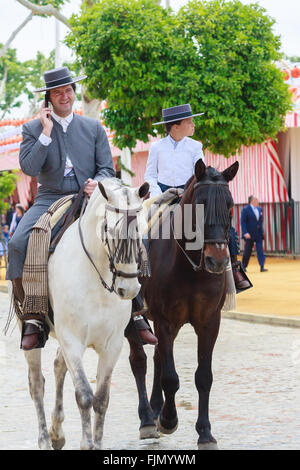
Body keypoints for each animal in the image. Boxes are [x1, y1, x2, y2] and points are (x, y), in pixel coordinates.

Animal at [127, 160, 239, 450]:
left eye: (230, 204)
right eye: (199, 204)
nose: (217, 260)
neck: (190, 267)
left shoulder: (209, 322)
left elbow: (204, 377)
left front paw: (205, 432)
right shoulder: (165, 321)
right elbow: (170, 377)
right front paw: (168, 420)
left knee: (156, 358)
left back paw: (155, 409)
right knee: (140, 361)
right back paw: (148, 419)